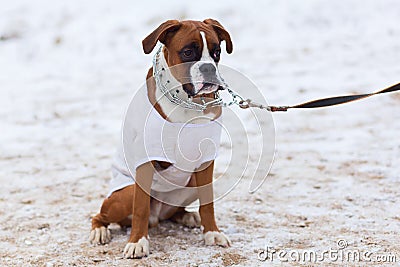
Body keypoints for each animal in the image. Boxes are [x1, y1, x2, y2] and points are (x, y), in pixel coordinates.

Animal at [89, 18, 233, 260]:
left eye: (217, 52)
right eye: (187, 52)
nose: (208, 68)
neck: (186, 102)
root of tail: (157, 217)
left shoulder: (206, 163)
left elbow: (208, 203)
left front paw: (212, 233)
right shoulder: (145, 163)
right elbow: (140, 209)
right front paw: (137, 243)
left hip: (191, 183)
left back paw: (187, 216)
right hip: (126, 193)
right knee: (102, 215)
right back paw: (100, 231)